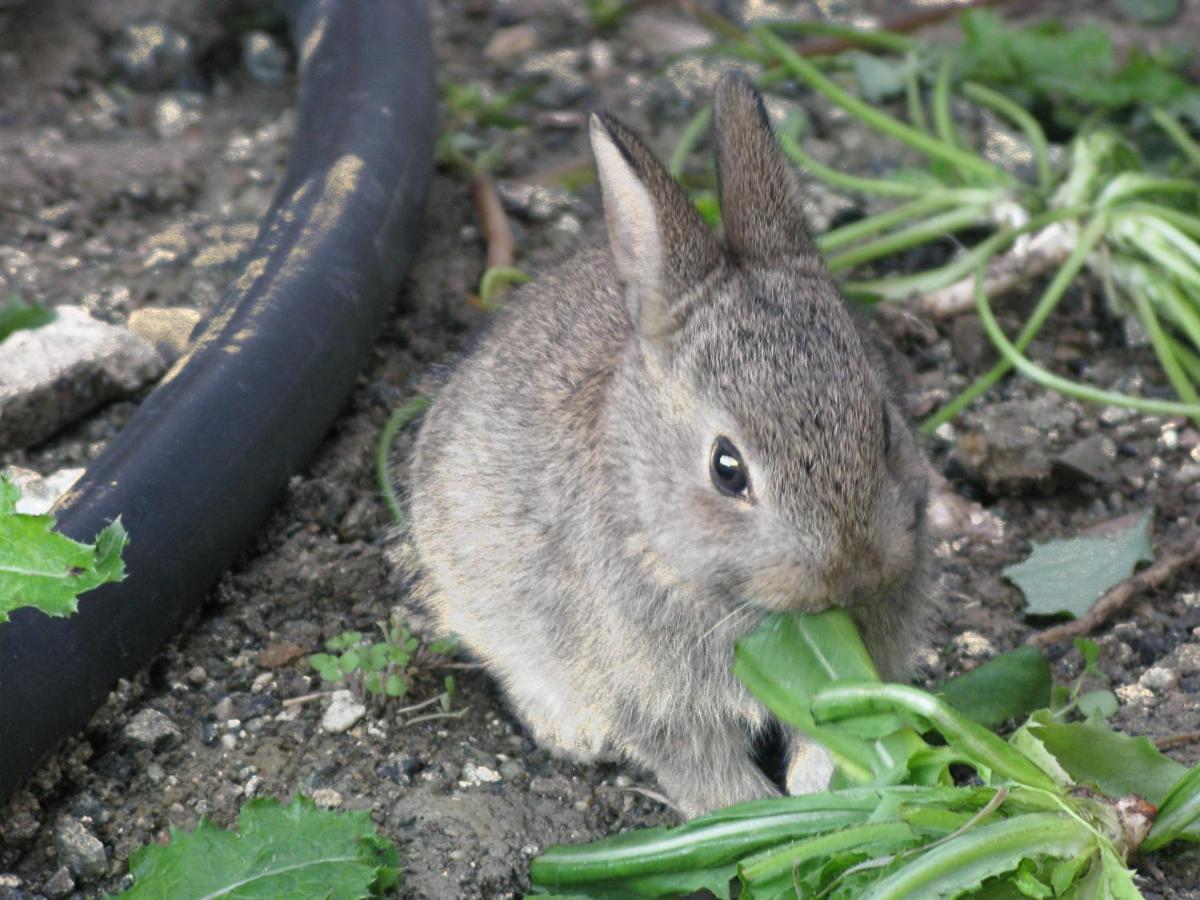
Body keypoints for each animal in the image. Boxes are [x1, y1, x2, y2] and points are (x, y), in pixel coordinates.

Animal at [403, 74, 926, 820]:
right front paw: (753, 813)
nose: (849, 575)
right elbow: (699, 765)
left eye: (884, 428)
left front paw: (825, 787)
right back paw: (573, 730)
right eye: (727, 469)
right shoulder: (653, 697)